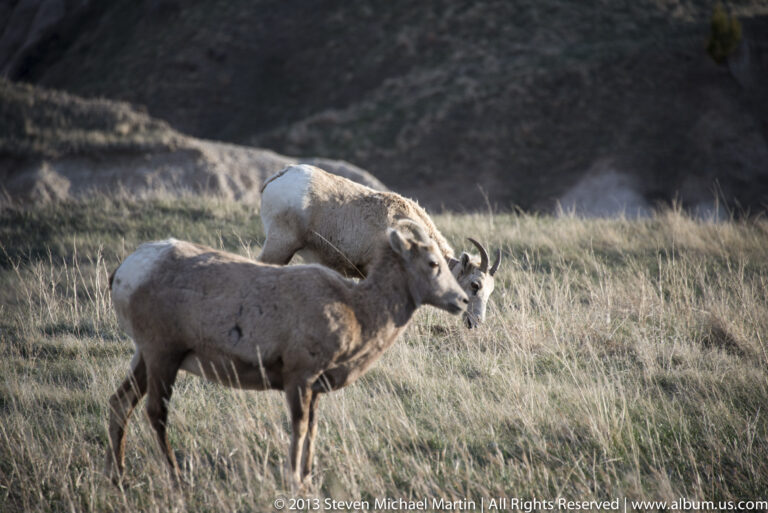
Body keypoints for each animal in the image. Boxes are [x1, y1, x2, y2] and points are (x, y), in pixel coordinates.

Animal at [105, 221, 468, 487]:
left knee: (120, 403)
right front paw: (293, 479)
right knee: (155, 413)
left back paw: (119, 477)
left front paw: (306, 479)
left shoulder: (315, 387)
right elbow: (300, 427)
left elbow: (313, 430)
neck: (356, 309)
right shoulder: (299, 378)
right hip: (163, 356)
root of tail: (126, 272)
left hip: (145, 357)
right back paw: (177, 477)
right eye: (432, 263)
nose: (462, 301)